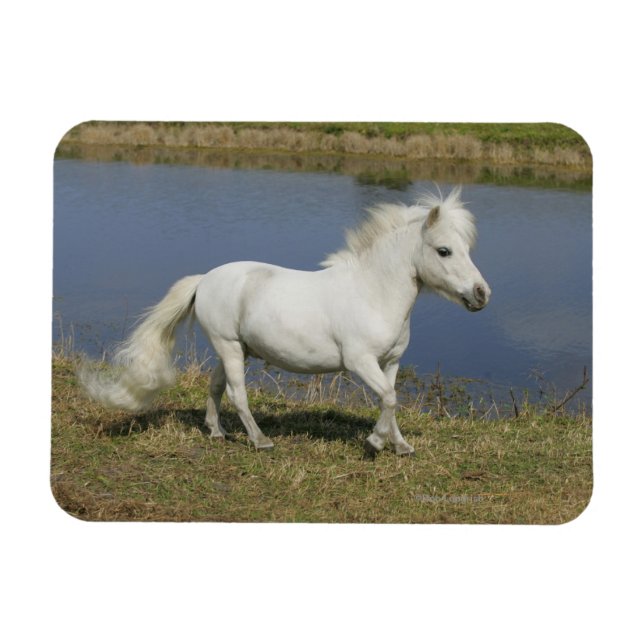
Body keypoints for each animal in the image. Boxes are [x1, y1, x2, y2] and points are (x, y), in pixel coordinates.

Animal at [80, 186, 490, 456]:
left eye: (466, 249)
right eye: (444, 251)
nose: (481, 294)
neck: (372, 292)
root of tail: (204, 280)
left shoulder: (390, 362)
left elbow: (391, 401)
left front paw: (400, 445)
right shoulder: (360, 362)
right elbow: (388, 399)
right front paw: (374, 443)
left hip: (236, 348)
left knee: (216, 387)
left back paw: (217, 432)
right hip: (229, 347)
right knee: (237, 394)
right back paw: (260, 441)